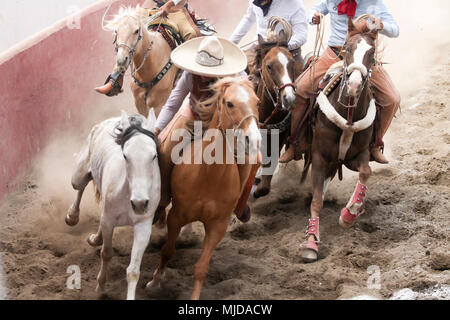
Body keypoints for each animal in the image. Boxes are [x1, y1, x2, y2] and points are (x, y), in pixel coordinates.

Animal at [64, 110, 160, 300]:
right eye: (125, 156)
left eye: (154, 156)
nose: (139, 203)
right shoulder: (109, 221)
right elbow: (106, 253)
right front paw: (100, 287)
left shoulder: (143, 226)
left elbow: (133, 271)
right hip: (78, 175)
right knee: (81, 184)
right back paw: (72, 216)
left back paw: (95, 238)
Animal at [146, 77, 262, 300]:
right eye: (229, 103)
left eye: (257, 102)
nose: (254, 140)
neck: (208, 175)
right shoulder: (176, 216)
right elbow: (167, 251)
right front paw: (155, 282)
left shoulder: (218, 226)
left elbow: (201, 268)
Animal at [298, 17, 380, 262]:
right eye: (348, 48)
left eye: (372, 52)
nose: (353, 85)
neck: (349, 114)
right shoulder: (319, 157)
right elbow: (316, 200)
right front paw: (310, 242)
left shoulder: (358, 155)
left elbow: (366, 172)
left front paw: (349, 213)